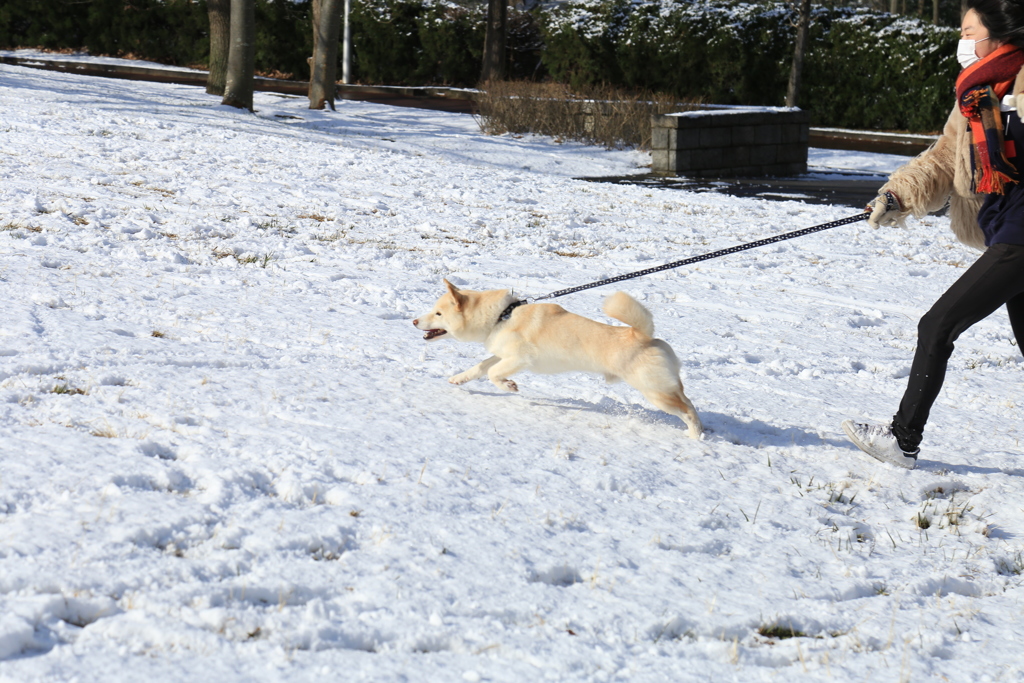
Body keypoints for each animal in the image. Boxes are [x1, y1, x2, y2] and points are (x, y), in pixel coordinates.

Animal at [411, 282, 700, 438]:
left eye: (438, 313)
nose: (413, 321)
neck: (502, 316)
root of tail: (644, 336)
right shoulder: (503, 354)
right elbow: (481, 367)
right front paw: (458, 379)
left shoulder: (521, 358)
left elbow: (494, 374)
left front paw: (509, 386)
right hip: (665, 388)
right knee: (689, 403)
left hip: (655, 393)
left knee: (687, 411)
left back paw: (695, 436)